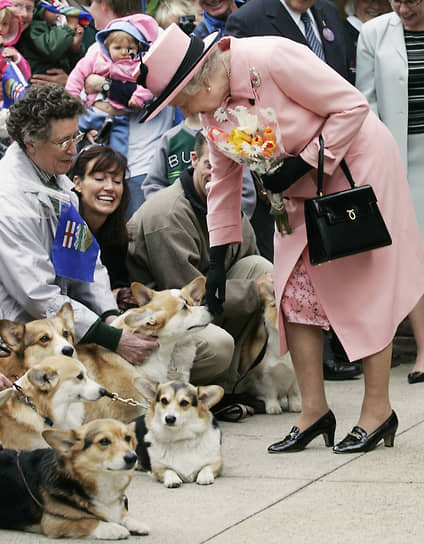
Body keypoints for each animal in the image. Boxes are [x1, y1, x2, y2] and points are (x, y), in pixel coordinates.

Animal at [0, 418, 149, 536]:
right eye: (104, 441)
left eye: (128, 438)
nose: (132, 458)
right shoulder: (53, 522)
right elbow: (88, 521)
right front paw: (113, 528)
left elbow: (124, 514)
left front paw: (136, 523)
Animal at [238, 278, 302, 414]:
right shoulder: (264, 373)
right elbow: (270, 392)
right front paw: (273, 408)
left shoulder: (296, 375)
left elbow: (293, 392)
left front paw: (296, 406)